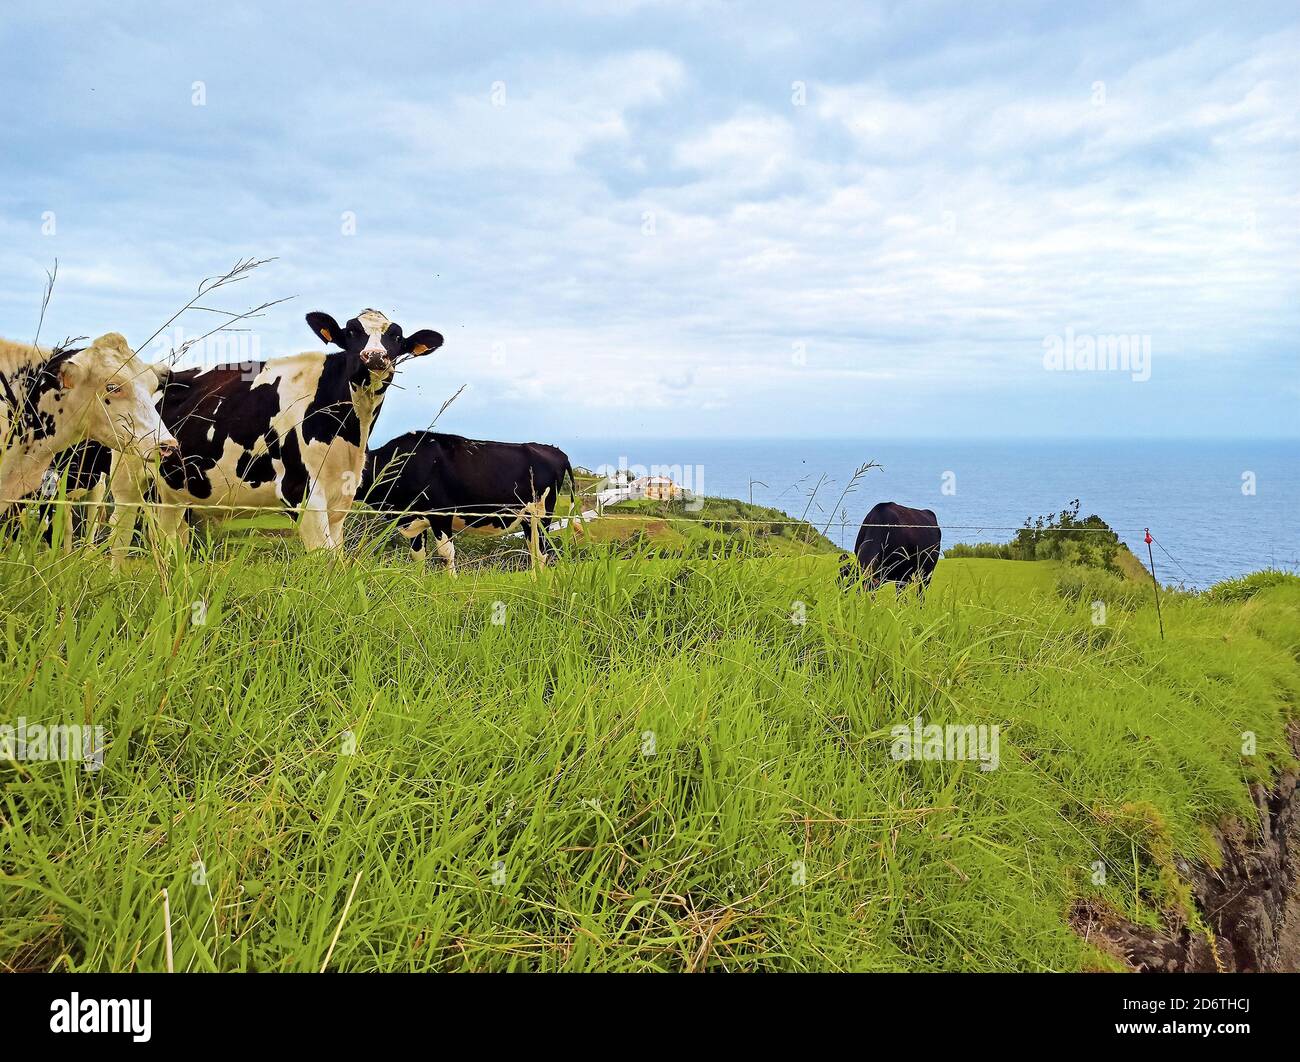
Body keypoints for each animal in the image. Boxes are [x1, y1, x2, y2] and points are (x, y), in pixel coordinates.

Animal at [107, 308, 441, 551]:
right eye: (351, 332)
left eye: (396, 337)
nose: (374, 357)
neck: (347, 432)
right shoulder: (303, 494)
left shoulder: (339, 502)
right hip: (127, 480)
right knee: (120, 533)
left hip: (171, 492)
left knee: (169, 540)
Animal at [358, 431, 577, 577]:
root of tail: (554, 450)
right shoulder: (414, 520)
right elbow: (418, 555)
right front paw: (419, 584)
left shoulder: (441, 514)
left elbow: (446, 553)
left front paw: (451, 583)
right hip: (527, 518)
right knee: (534, 548)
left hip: (542, 513)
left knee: (541, 551)